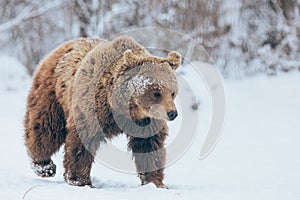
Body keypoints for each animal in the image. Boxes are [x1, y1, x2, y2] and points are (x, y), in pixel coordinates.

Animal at [24, 36, 180, 188]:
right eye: (156, 93)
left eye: (172, 92)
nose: (172, 113)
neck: (122, 109)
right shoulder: (93, 110)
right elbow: (82, 142)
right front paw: (80, 180)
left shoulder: (146, 121)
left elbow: (149, 145)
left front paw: (156, 182)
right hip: (53, 94)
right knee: (45, 129)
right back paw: (44, 166)